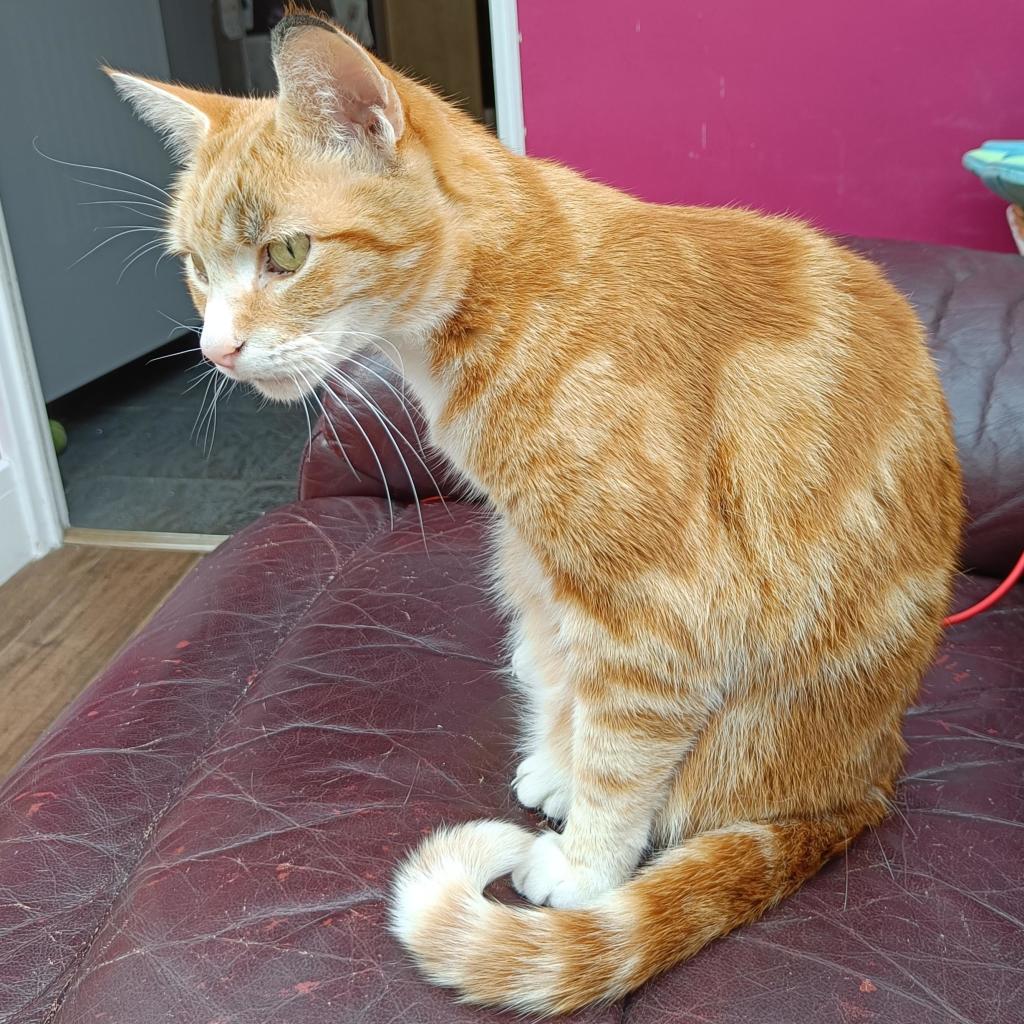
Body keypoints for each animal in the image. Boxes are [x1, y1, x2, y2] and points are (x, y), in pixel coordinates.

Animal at [112, 9, 958, 1015]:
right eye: (195, 269)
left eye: (285, 253)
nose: (215, 349)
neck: (515, 287)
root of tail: (870, 774)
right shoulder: (538, 557)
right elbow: (560, 678)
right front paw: (559, 767)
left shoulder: (653, 604)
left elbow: (622, 753)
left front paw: (586, 865)